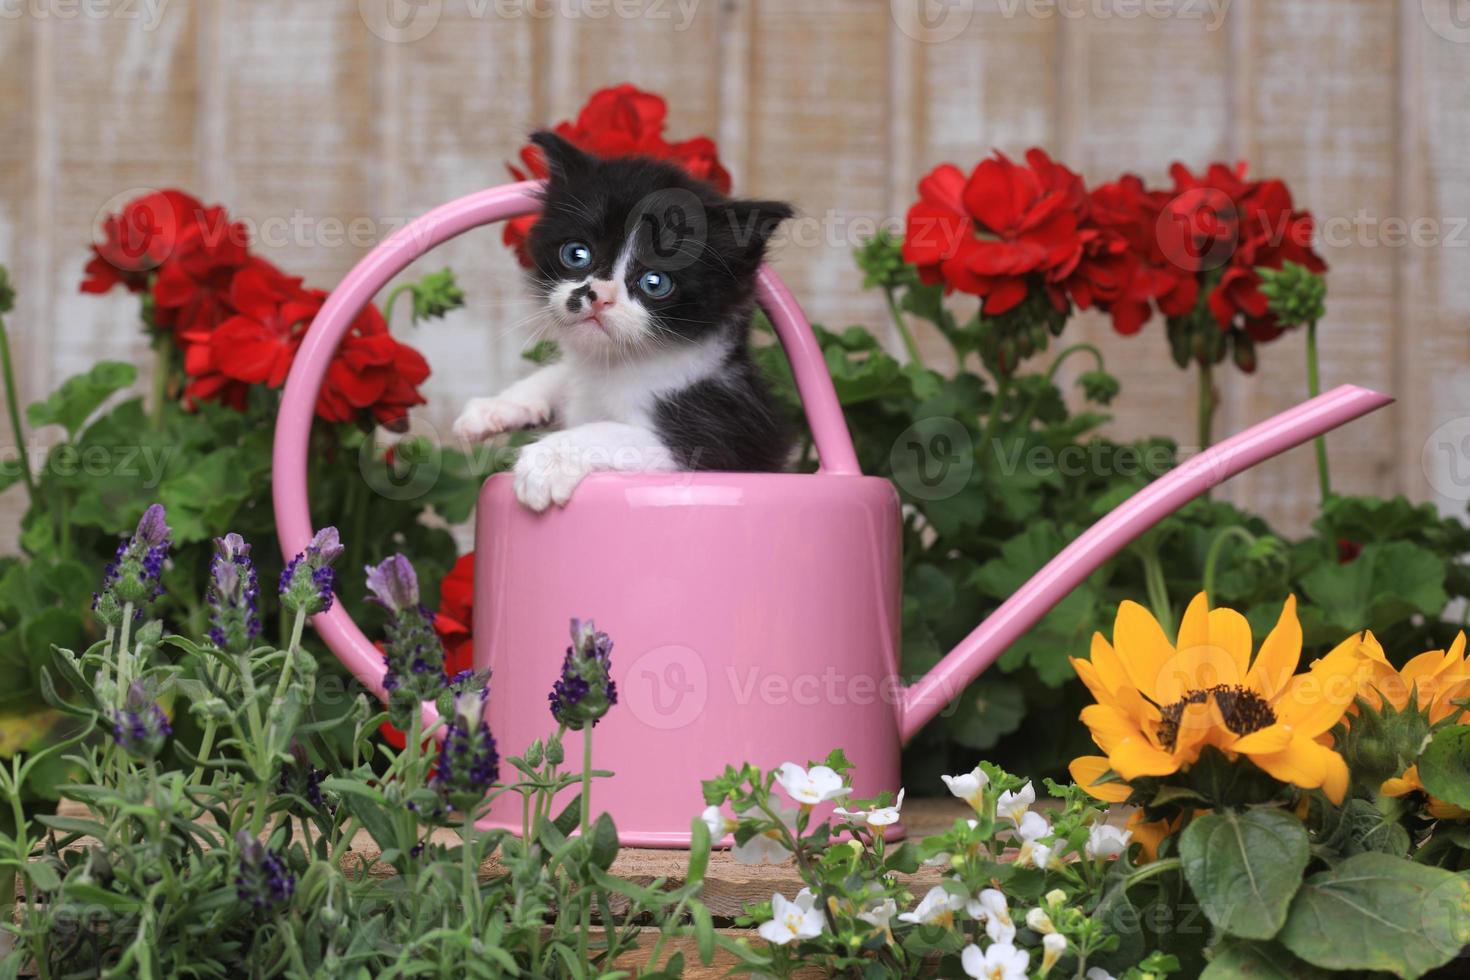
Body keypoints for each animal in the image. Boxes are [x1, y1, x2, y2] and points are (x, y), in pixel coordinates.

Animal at [449, 130, 793, 511]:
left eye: (655, 282)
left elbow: (618, 432)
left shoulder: (721, 432)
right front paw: (498, 406)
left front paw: (547, 460)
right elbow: (562, 372)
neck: (616, 367)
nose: (598, 295)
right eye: (576, 254)